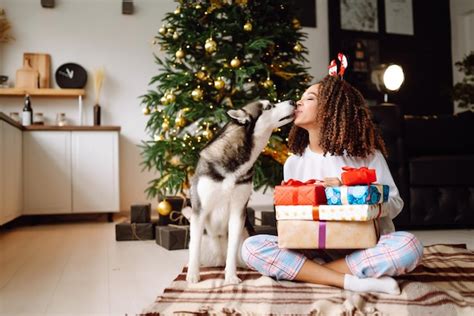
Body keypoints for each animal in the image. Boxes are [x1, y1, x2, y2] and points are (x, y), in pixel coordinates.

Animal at [187, 99, 294, 284]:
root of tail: (218, 260)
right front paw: (193, 275)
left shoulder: (238, 211)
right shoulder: (199, 210)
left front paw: (231, 276)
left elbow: (232, 248)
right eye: (269, 107)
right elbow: (195, 246)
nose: (293, 101)